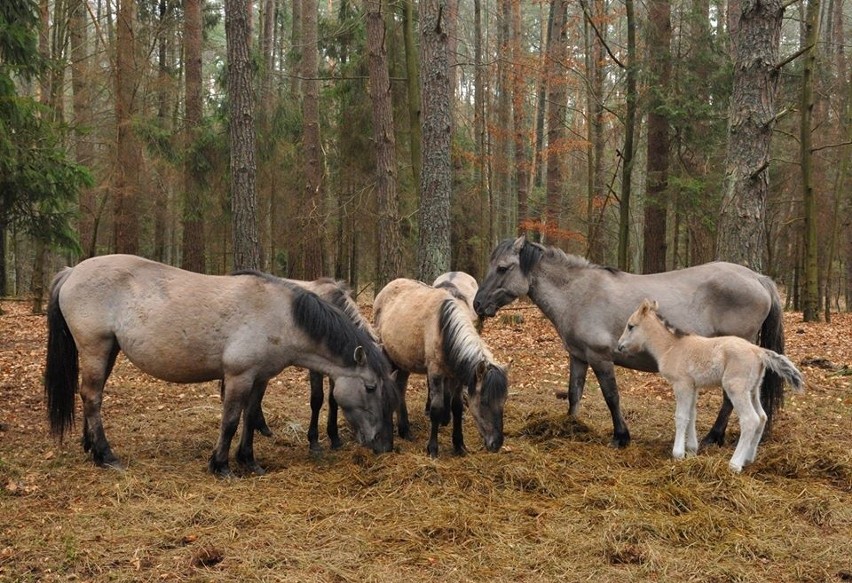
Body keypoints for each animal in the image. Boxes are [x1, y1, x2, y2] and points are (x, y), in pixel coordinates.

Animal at [41, 256, 398, 480]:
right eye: (370, 387)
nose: (383, 445)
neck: (281, 315)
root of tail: (72, 271)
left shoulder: (259, 377)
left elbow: (250, 418)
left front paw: (249, 461)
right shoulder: (238, 376)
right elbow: (230, 420)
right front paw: (221, 465)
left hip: (108, 350)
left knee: (91, 396)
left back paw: (90, 448)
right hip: (95, 348)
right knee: (92, 397)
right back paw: (106, 455)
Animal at [372, 278, 506, 456]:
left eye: (503, 401)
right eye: (484, 402)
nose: (496, 443)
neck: (445, 329)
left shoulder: (456, 377)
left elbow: (457, 407)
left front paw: (459, 445)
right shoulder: (435, 373)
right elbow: (436, 409)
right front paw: (433, 449)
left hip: (403, 362)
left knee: (400, 388)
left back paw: (405, 430)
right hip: (388, 356)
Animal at [472, 235, 784, 450]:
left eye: (503, 268)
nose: (477, 304)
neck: (578, 295)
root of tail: (757, 278)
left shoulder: (600, 357)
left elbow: (611, 397)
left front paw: (621, 437)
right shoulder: (578, 357)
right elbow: (574, 393)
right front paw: (571, 426)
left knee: (729, 400)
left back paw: (713, 437)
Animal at [616, 298, 804, 472]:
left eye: (631, 326)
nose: (619, 346)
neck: (671, 347)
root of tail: (758, 351)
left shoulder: (681, 384)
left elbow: (681, 416)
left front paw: (678, 454)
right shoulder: (693, 386)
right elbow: (692, 414)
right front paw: (692, 451)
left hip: (736, 388)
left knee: (750, 420)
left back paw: (735, 464)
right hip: (753, 389)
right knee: (762, 417)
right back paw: (748, 459)